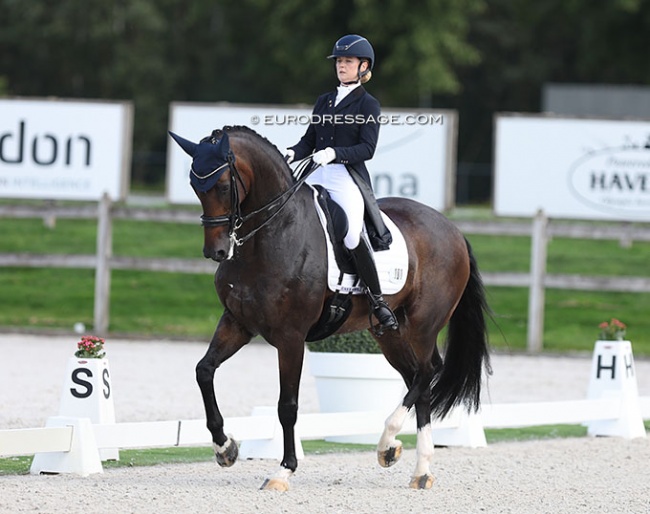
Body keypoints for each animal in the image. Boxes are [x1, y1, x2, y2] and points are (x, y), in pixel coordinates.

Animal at [170, 124, 488, 488]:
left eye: (223, 186)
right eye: (195, 187)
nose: (217, 251)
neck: (271, 234)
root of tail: (453, 229)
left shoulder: (291, 337)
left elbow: (287, 405)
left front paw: (284, 470)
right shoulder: (238, 322)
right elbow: (204, 370)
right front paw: (226, 448)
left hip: (422, 325)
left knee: (428, 372)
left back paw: (387, 444)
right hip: (390, 332)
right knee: (416, 381)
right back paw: (419, 469)